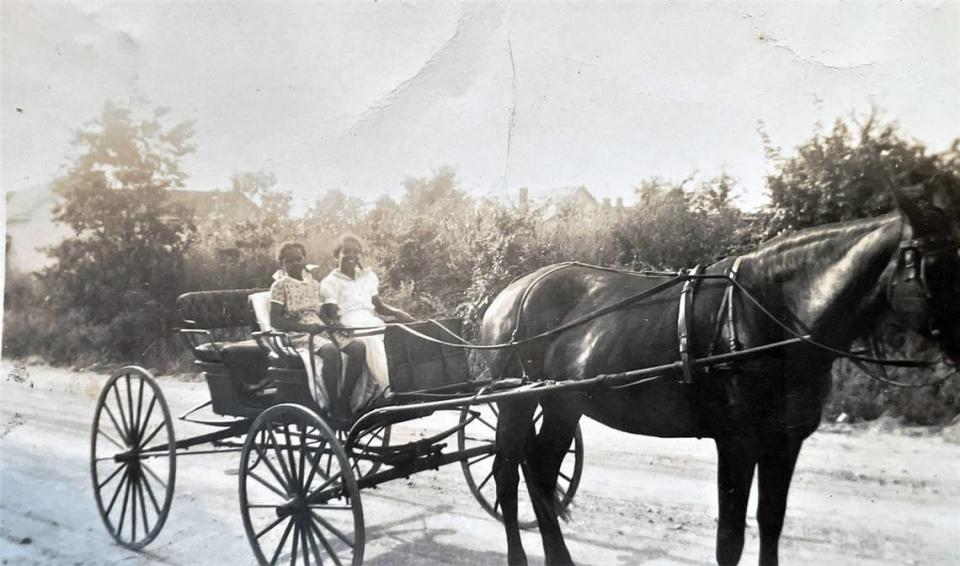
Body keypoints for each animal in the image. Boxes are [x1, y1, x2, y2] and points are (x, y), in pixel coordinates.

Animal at [480, 179, 960, 566]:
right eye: (934, 267)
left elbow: (770, 523)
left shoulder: (784, 443)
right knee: (507, 474)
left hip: (562, 403)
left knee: (541, 470)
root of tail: (509, 295)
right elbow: (729, 539)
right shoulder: (736, 443)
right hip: (517, 402)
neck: (770, 314)